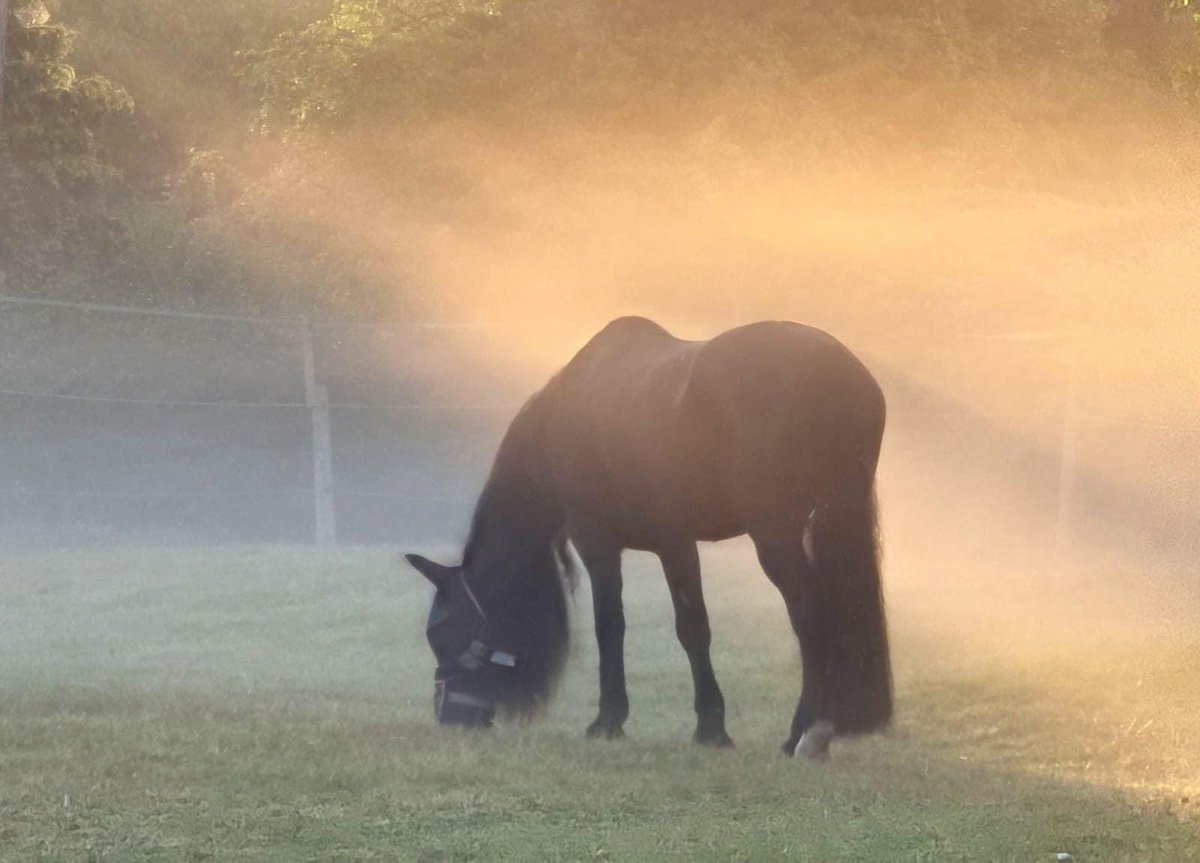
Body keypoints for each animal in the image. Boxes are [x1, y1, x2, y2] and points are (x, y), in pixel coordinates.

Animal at [408, 314, 888, 758]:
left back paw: (808, 733)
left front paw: (633, 722)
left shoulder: (617, 543)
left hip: (776, 535)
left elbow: (633, 626)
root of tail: (840, 373)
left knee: (810, 618)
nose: (450, 718)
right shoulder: (673, 544)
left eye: (444, 635)